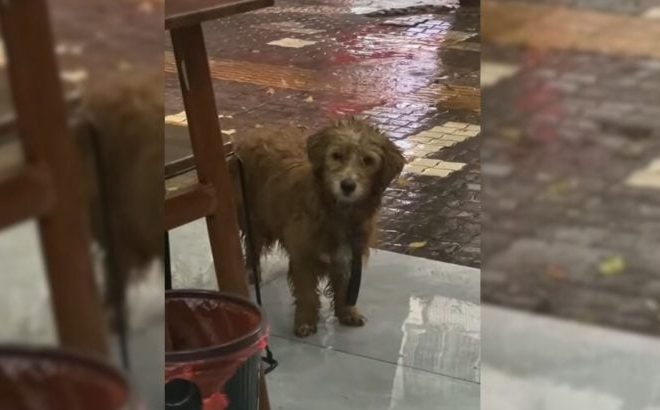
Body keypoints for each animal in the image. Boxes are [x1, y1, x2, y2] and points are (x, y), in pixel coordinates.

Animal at [235, 117, 404, 336]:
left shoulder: (348, 254)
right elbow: (307, 292)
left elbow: (344, 288)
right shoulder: (303, 256)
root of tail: (255, 131)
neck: (337, 212)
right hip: (254, 218)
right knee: (251, 245)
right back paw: (251, 271)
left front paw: (347, 312)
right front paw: (305, 321)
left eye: (368, 160)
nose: (347, 185)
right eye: (336, 156)